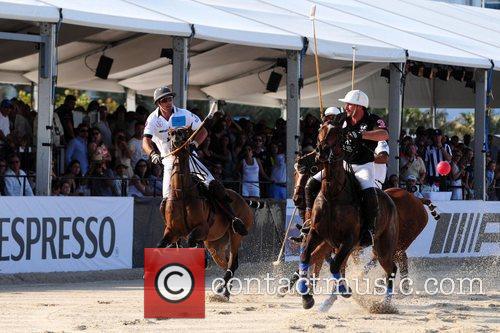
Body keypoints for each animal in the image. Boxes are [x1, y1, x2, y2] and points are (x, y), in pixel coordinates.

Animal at [157, 126, 254, 298]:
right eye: (170, 133)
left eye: (185, 132)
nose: (177, 139)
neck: (182, 193)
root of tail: (243, 200)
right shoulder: (171, 230)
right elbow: (160, 246)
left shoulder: (201, 228)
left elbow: (191, 240)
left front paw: (201, 260)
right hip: (215, 244)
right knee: (228, 262)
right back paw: (225, 290)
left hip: (235, 235)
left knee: (233, 261)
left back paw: (222, 290)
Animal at [296, 120, 398, 310]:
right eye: (320, 131)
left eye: (337, 134)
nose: (321, 151)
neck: (333, 193)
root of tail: (390, 200)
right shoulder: (316, 233)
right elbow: (306, 256)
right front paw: (307, 298)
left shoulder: (350, 239)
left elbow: (335, 266)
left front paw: (345, 290)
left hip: (383, 247)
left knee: (392, 269)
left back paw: (385, 305)